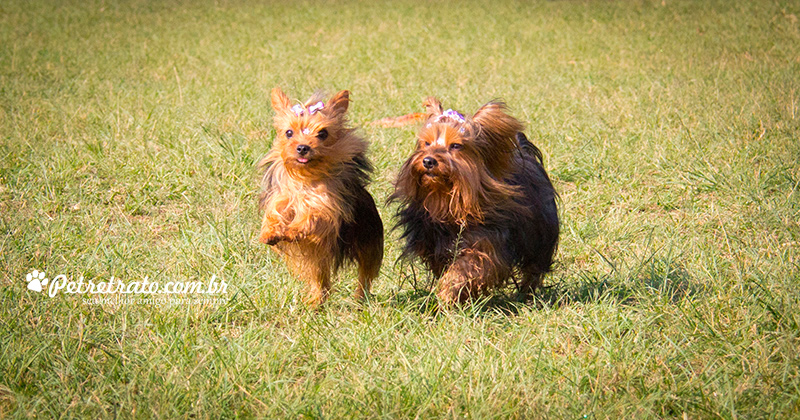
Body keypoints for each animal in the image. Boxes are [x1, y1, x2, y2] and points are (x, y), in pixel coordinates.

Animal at [256, 88, 382, 306]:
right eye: (289, 133)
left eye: (322, 133)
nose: (302, 147)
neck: (306, 179)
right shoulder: (283, 197)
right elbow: (275, 212)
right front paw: (270, 232)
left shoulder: (326, 206)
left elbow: (312, 216)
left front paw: (293, 230)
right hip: (317, 257)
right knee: (319, 278)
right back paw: (316, 302)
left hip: (369, 241)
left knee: (365, 274)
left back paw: (360, 299)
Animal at [390, 97, 560, 304]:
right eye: (426, 143)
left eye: (456, 145)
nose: (428, 161)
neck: (448, 199)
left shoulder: (486, 244)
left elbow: (465, 269)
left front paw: (447, 294)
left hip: (540, 232)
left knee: (534, 267)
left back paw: (527, 295)